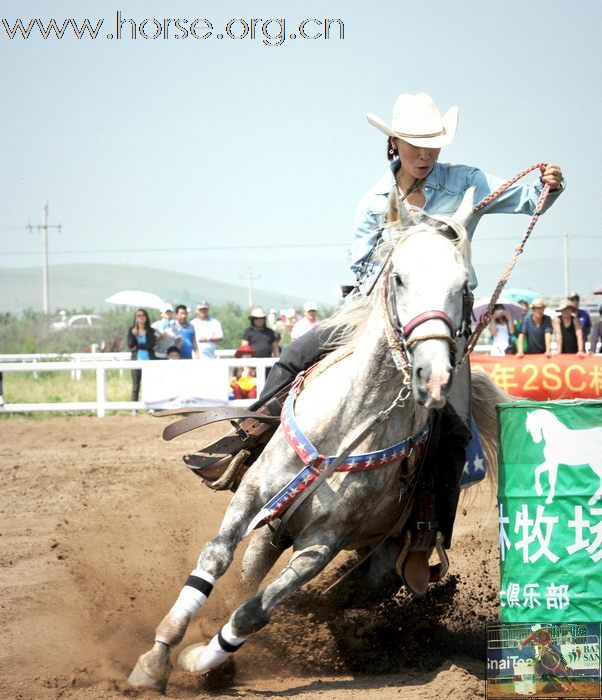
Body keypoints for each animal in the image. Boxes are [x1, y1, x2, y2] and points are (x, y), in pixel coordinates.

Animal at [126, 189, 502, 692]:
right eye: (399, 277)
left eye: (463, 287)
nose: (434, 375)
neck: (350, 421)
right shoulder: (254, 495)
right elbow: (215, 560)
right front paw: (155, 658)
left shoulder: (322, 543)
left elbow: (253, 613)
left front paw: (202, 660)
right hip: (277, 525)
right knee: (251, 569)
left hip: (380, 555)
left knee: (338, 591)